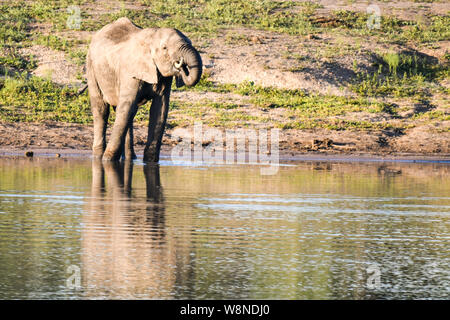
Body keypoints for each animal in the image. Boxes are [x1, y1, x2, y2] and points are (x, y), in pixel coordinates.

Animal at [86, 16, 202, 162]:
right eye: (164, 48)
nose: (181, 65)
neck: (152, 38)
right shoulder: (131, 71)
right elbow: (127, 106)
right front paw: (108, 160)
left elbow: (160, 110)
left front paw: (150, 161)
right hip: (91, 67)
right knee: (102, 110)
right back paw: (99, 157)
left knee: (128, 114)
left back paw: (130, 158)